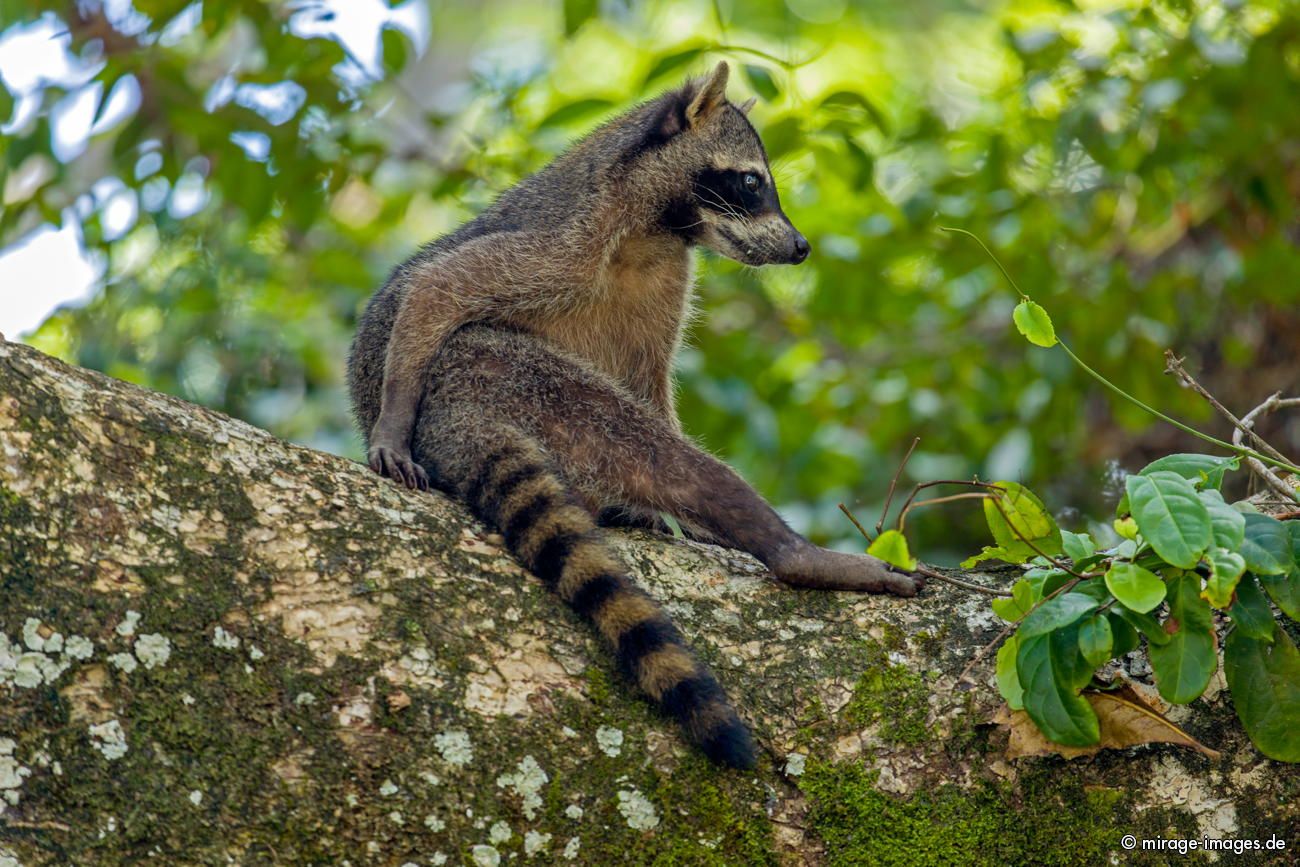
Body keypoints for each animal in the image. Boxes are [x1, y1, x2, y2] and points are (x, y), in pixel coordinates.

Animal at [343, 64, 915, 764]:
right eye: (753, 182)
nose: (802, 247)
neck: (661, 227)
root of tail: (457, 421)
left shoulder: (667, 284)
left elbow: (652, 384)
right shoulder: (566, 242)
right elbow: (439, 286)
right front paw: (392, 417)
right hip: (507, 375)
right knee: (652, 448)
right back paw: (792, 551)